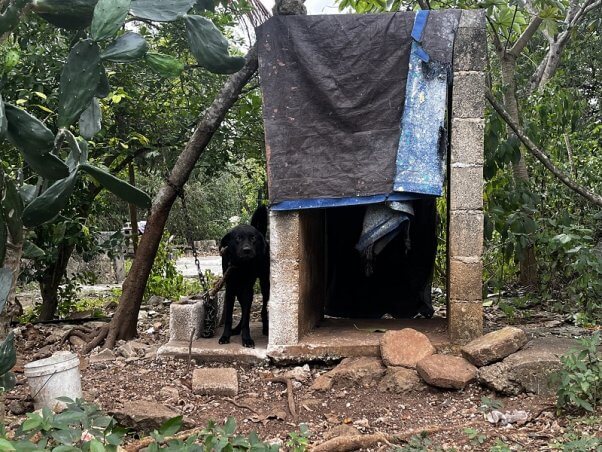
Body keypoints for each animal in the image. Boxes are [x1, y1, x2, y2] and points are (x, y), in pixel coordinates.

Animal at [218, 207, 268, 348]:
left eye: (253, 238)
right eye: (238, 238)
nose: (247, 250)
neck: (241, 266)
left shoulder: (247, 290)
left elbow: (246, 318)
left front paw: (246, 339)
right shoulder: (230, 290)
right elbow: (229, 318)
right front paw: (225, 336)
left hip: (264, 284)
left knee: (263, 307)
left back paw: (266, 328)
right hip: (239, 291)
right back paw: (236, 329)